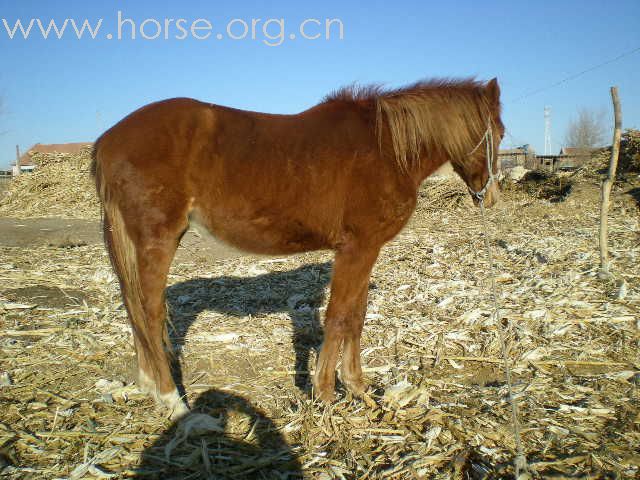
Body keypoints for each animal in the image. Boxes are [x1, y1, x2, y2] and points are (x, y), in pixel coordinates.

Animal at [92, 77, 502, 414]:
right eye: (497, 132)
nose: (491, 196)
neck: (385, 148)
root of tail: (107, 141)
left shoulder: (365, 251)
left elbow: (356, 316)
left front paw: (358, 387)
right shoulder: (356, 248)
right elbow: (338, 316)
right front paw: (325, 393)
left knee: (134, 308)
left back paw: (148, 384)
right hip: (157, 240)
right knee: (150, 313)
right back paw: (171, 400)